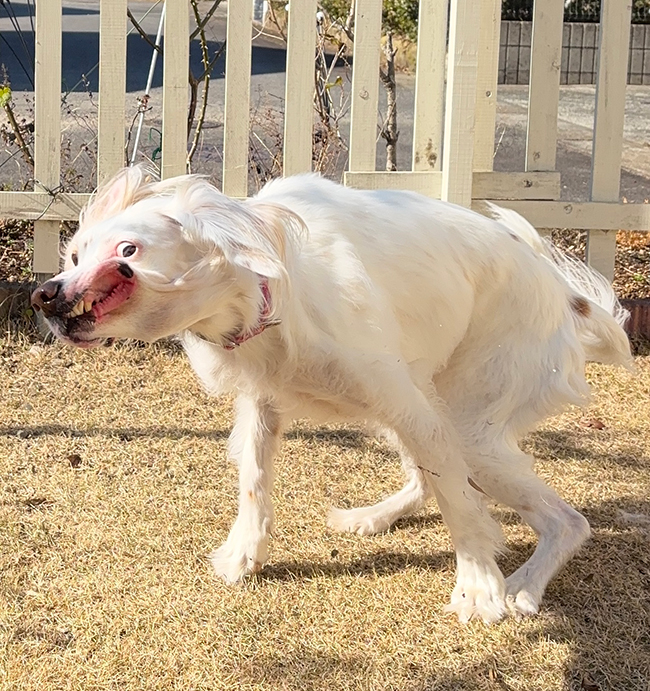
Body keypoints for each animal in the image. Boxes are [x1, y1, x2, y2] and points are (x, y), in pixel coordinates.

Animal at [33, 168, 632, 620]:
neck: (263, 297)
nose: (45, 294)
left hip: (466, 425)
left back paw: (523, 587)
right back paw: (373, 517)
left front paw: (479, 588)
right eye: (74, 257)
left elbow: (461, 507)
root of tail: (569, 298)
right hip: (426, 414)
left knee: (565, 521)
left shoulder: (405, 404)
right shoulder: (264, 404)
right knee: (430, 478)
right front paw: (245, 554)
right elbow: (254, 480)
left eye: (128, 250)